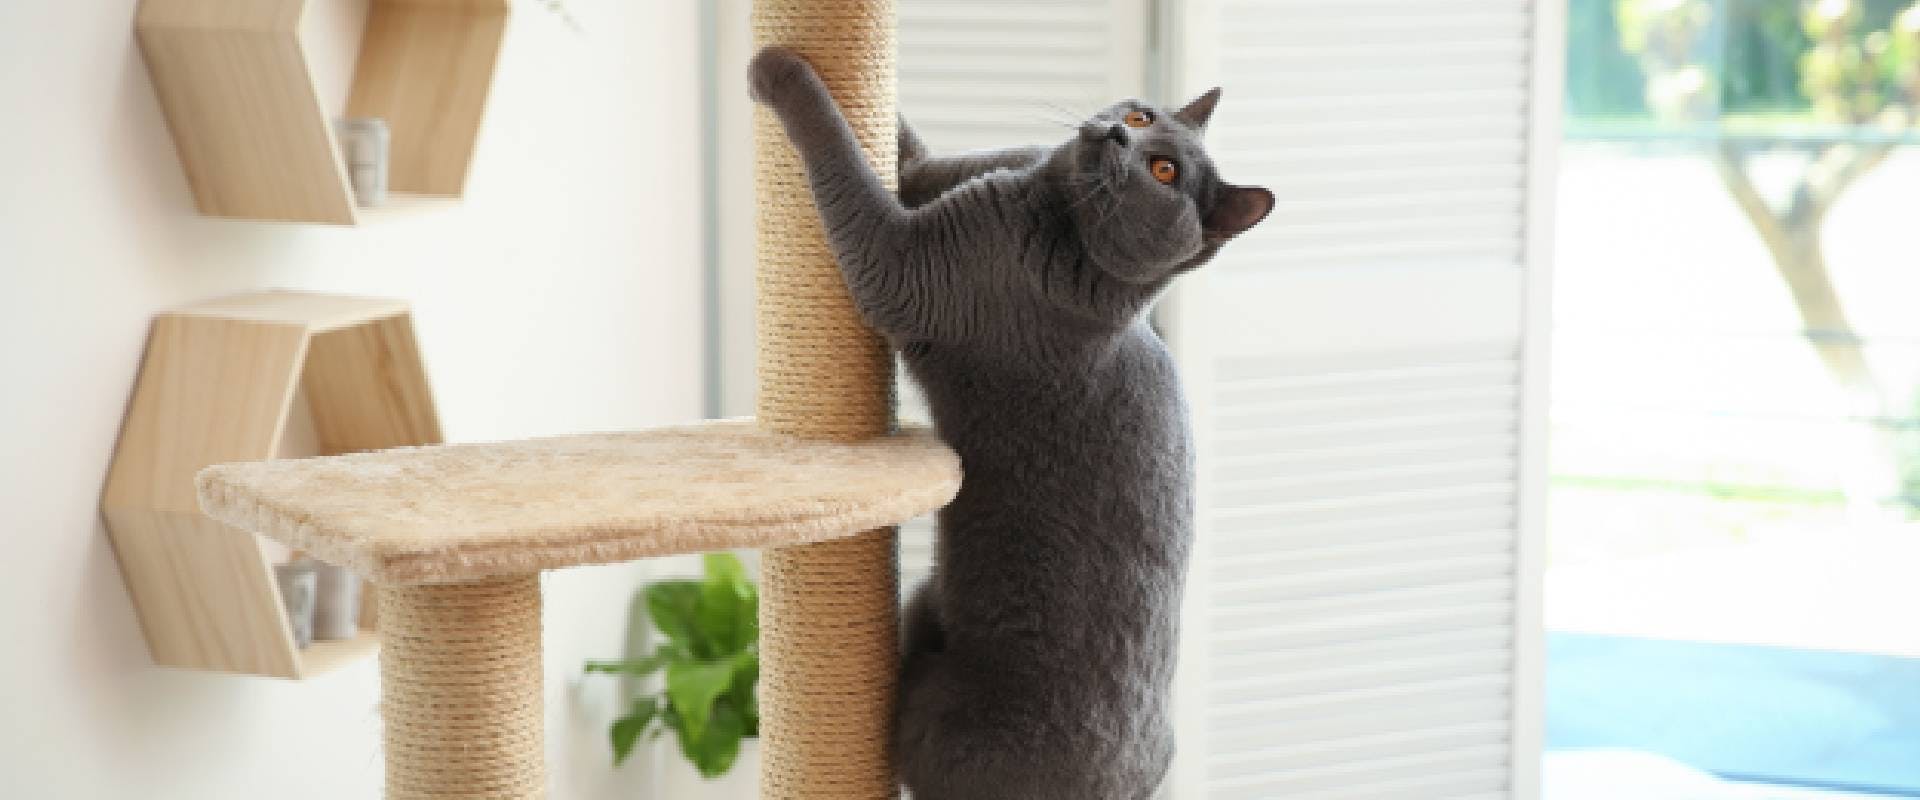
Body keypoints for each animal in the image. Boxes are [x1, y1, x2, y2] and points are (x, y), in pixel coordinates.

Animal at [748, 45, 1274, 798]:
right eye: (1143, 117)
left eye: (1164, 172)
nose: (1118, 135)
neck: (1046, 199)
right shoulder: (932, 178)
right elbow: (901, 149)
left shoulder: (902, 263)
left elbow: (838, 149)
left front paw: (775, 68)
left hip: (941, 722)